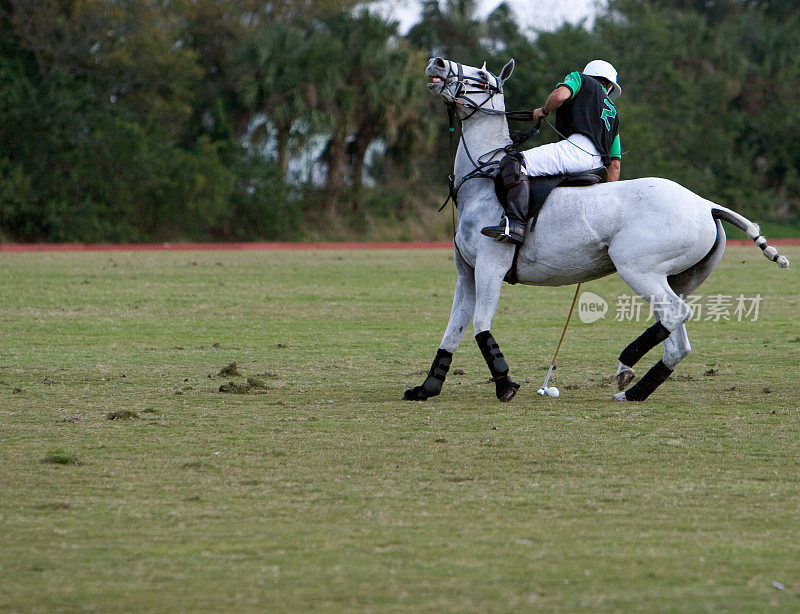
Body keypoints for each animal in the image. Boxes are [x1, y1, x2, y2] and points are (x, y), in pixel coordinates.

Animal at [404, 57, 792, 404]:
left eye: (482, 76)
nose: (437, 63)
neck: (482, 181)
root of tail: (705, 204)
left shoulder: (490, 266)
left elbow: (480, 325)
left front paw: (505, 385)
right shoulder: (466, 274)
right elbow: (451, 333)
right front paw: (426, 389)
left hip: (637, 266)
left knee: (675, 314)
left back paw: (627, 364)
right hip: (678, 277)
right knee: (677, 337)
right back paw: (632, 389)